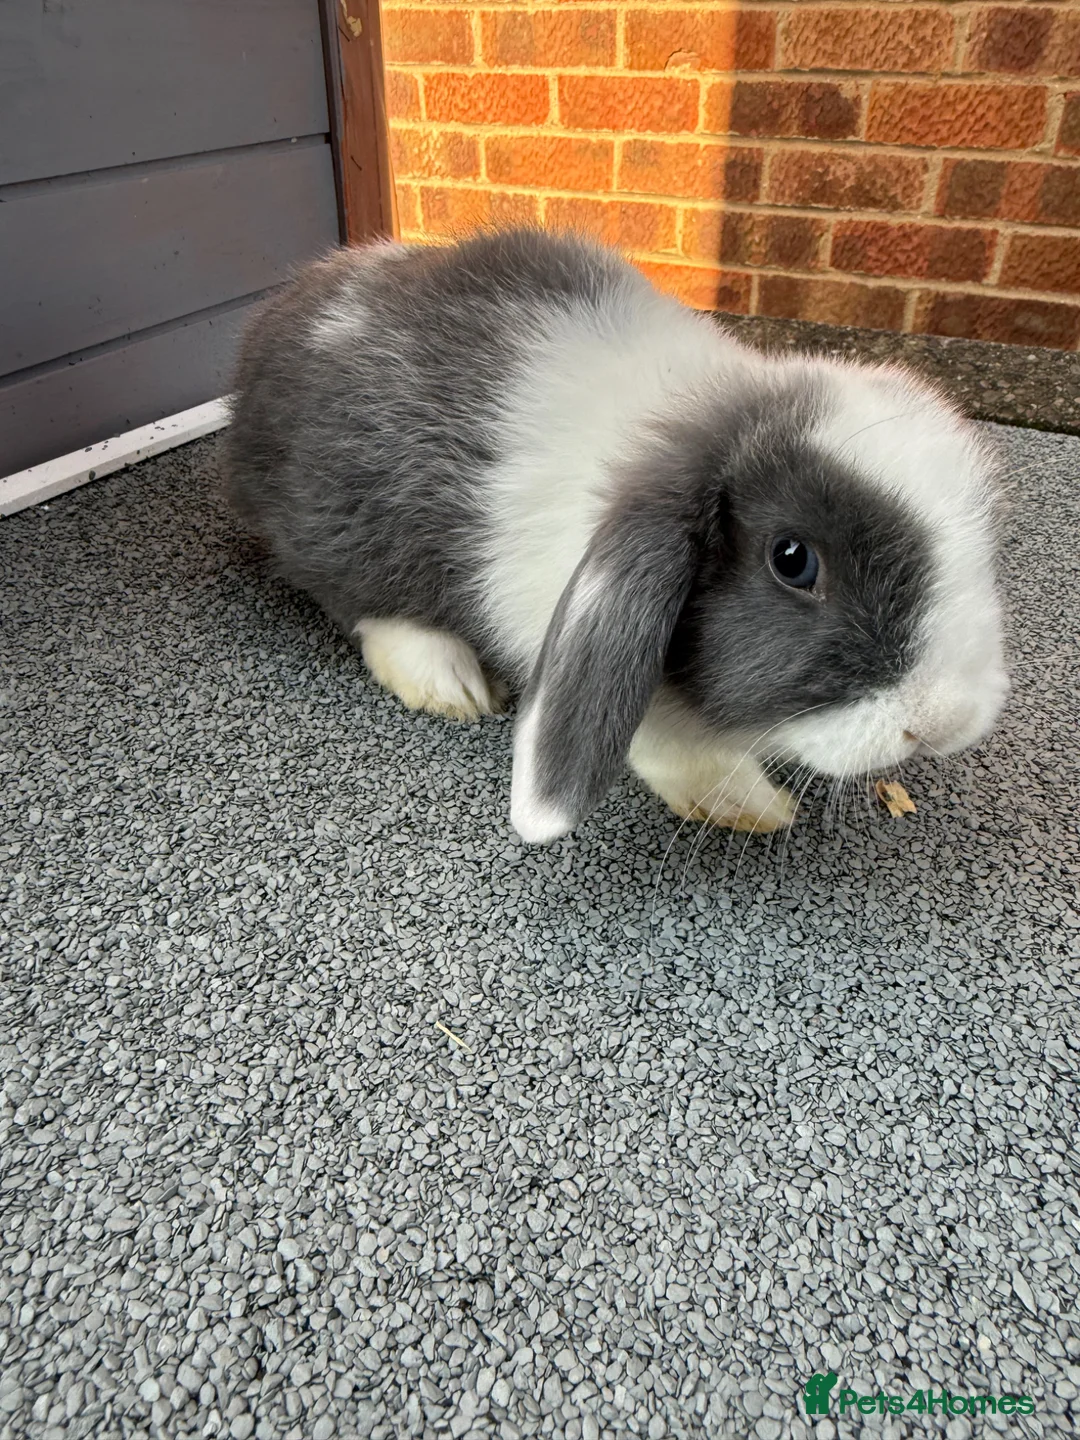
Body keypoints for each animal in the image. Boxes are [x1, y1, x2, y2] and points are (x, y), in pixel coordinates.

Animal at [224, 228, 1008, 844]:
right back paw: (446, 681)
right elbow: (659, 731)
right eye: (793, 560)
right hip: (344, 519)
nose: (945, 719)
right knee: (357, 597)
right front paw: (743, 800)